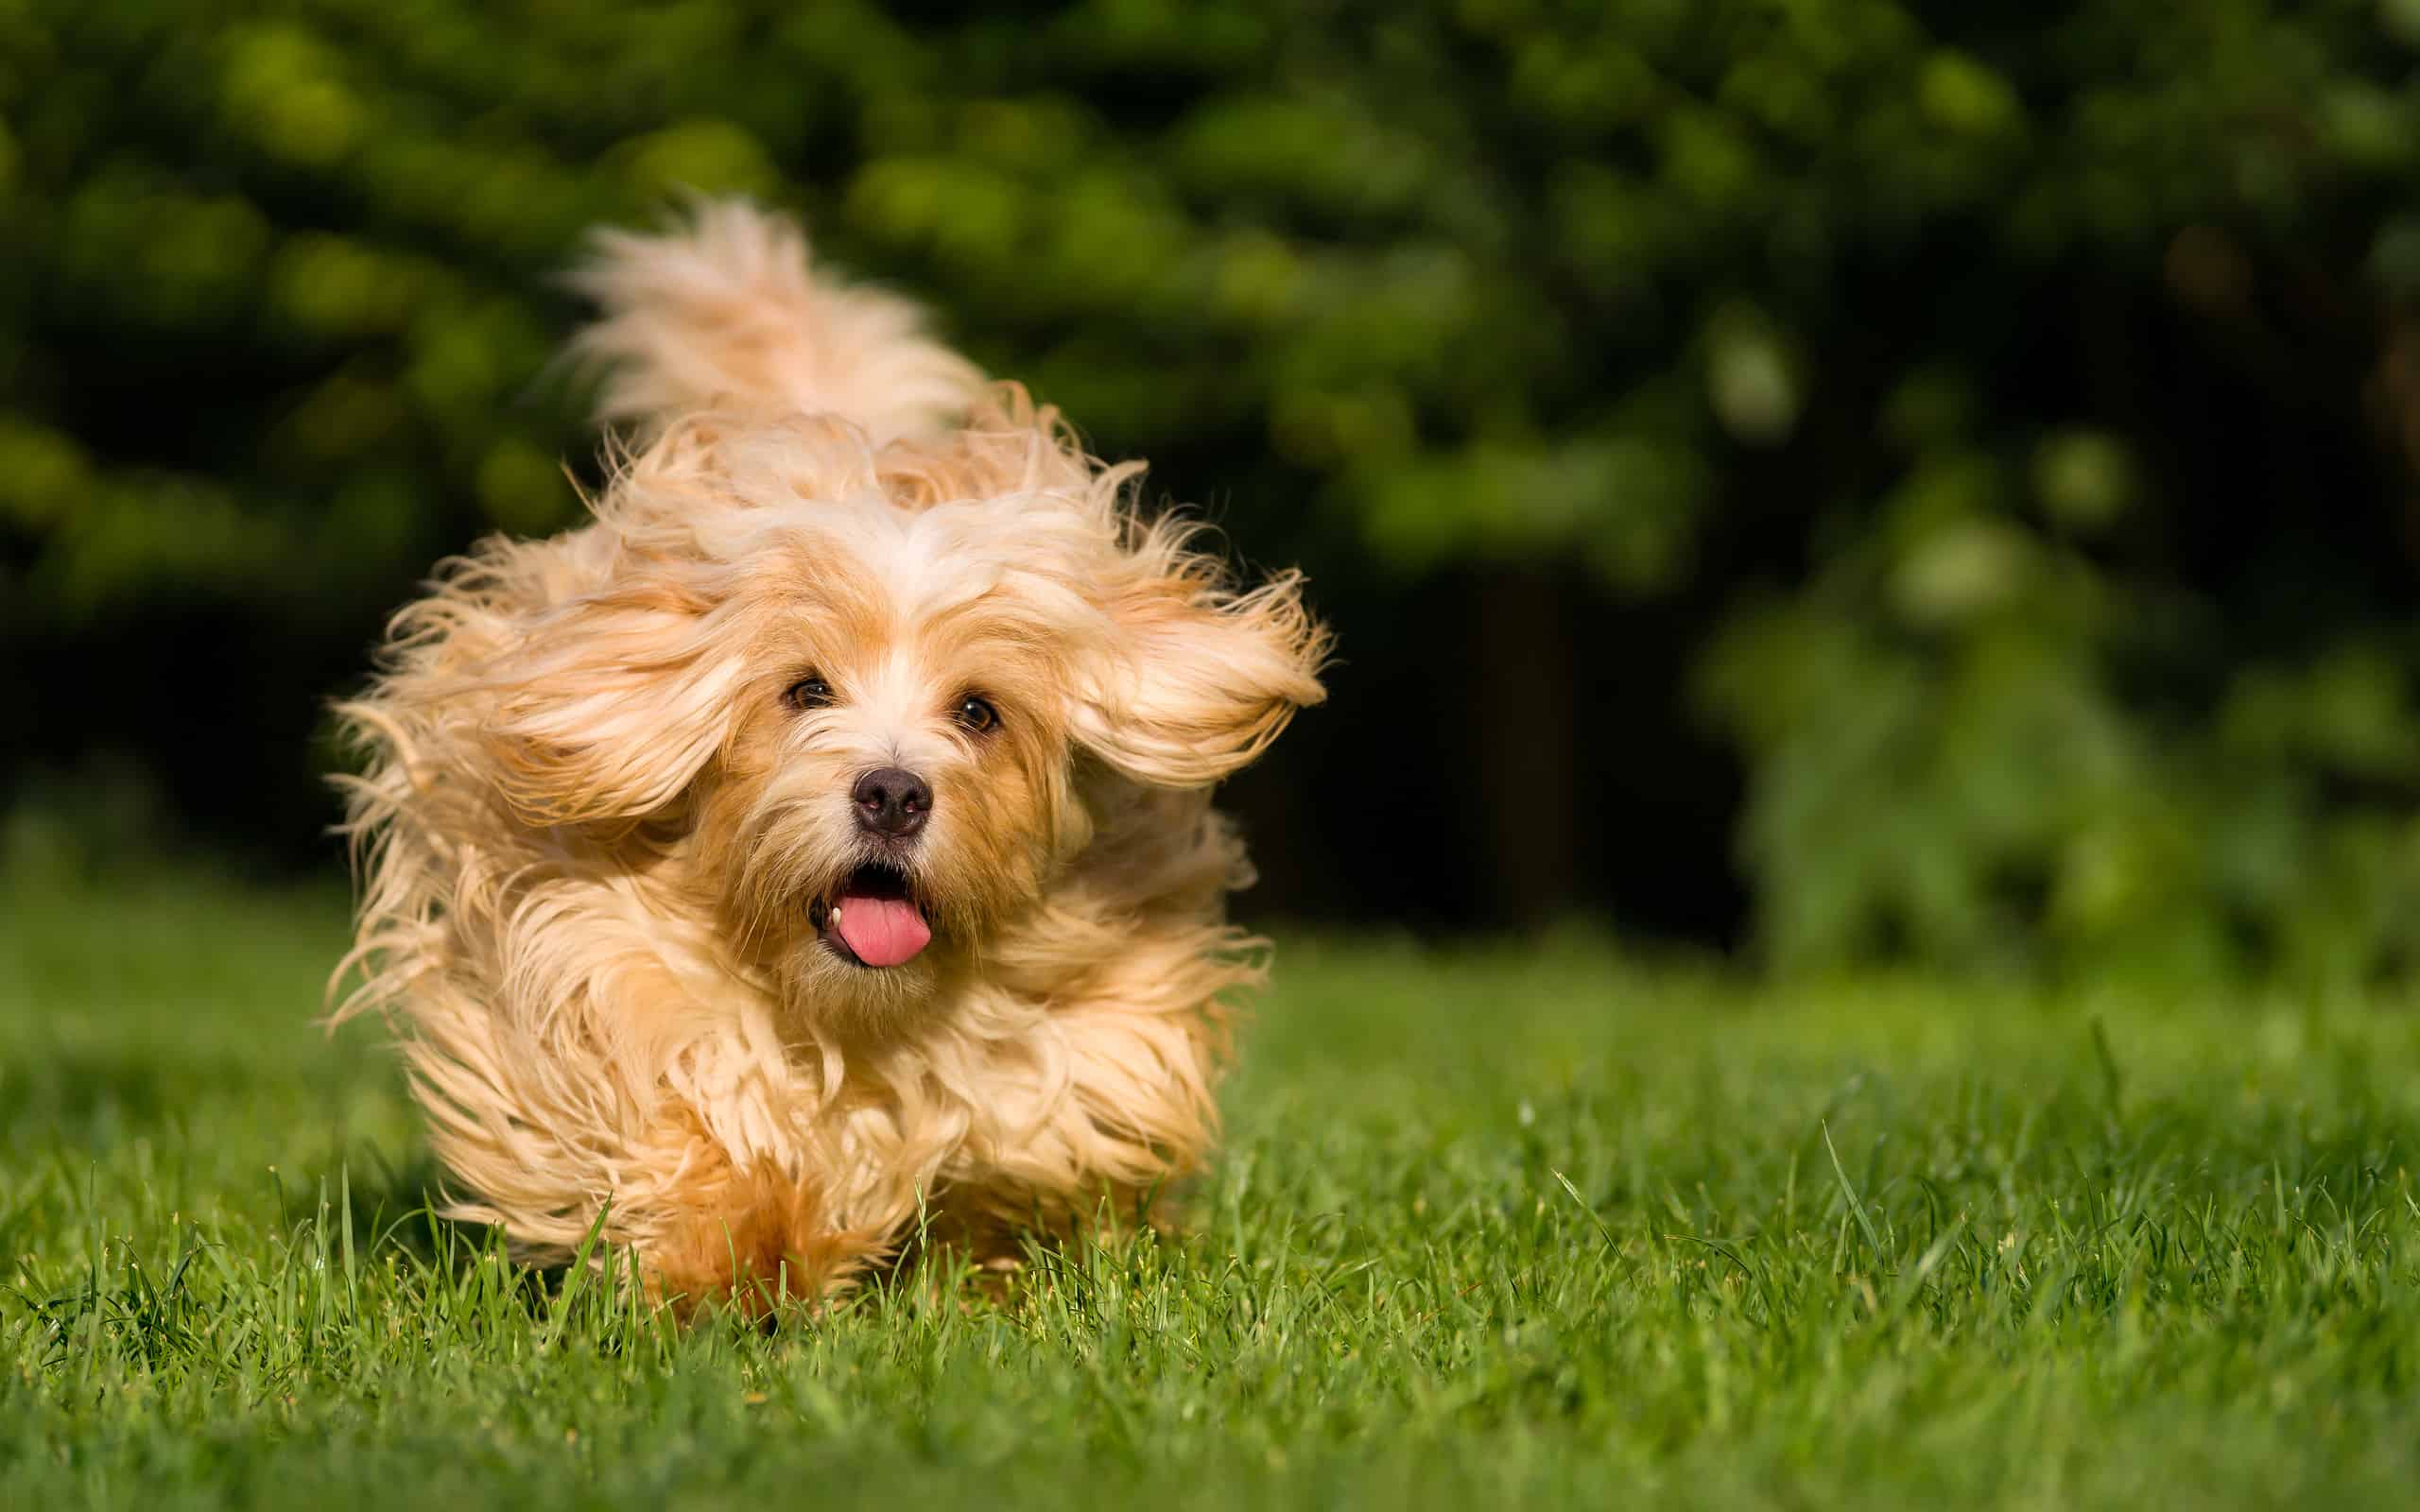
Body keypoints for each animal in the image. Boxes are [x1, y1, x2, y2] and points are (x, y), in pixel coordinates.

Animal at [326, 197, 1325, 1306]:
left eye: (979, 711)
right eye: (804, 690)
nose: (891, 793)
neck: (860, 1017)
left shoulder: (1098, 1028)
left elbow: (1027, 1139)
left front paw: (980, 1258)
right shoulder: (592, 960)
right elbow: (681, 1107)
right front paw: (728, 1258)